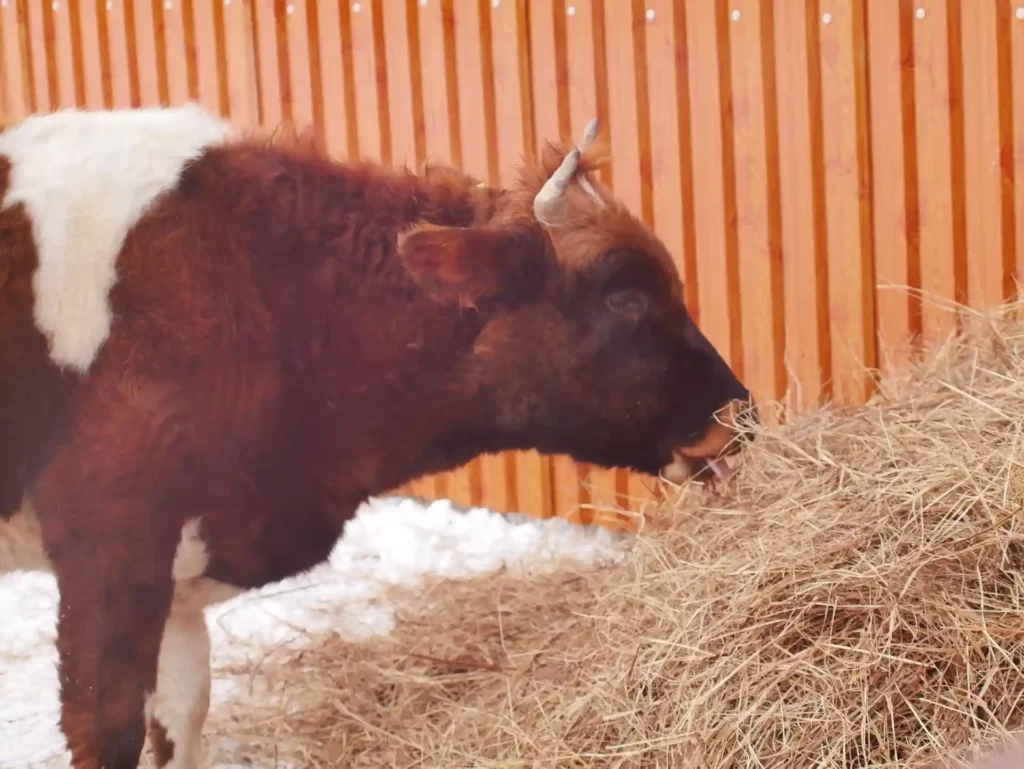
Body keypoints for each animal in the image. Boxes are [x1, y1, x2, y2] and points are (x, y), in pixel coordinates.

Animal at [0, 103, 755, 769]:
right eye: (624, 296)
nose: (741, 413)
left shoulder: (181, 574)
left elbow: (182, 720)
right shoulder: (110, 547)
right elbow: (107, 732)